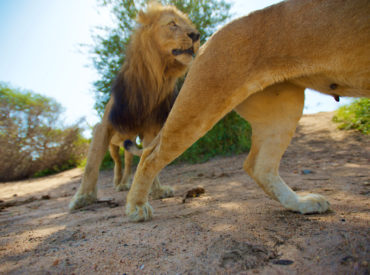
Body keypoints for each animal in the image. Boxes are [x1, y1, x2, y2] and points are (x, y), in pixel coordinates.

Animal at [69, 3, 199, 211]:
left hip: (128, 140)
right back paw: (117, 183)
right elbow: (91, 165)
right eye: (172, 24)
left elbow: (148, 157)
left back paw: (125, 183)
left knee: (129, 161)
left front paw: (157, 191)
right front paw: (82, 198)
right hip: (114, 145)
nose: (196, 35)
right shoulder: (103, 126)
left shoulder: (150, 129)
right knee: (117, 162)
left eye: (188, 24)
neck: (154, 80)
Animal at [125, 0, 370, 222]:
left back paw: (301, 203)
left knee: (259, 166)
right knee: (150, 154)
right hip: (204, 100)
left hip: (283, 105)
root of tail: (210, 38)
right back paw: (137, 208)